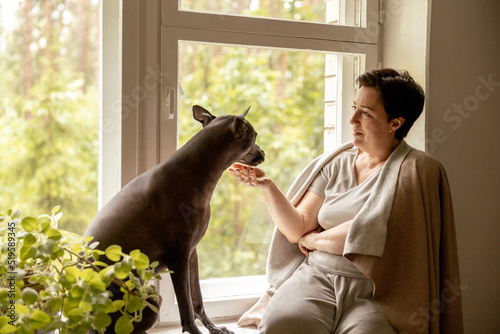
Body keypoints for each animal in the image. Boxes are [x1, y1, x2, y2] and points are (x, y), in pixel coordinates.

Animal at [85, 105, 266, 332]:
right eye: (255, 136)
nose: (263, 153)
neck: (194, 174)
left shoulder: (191, 254)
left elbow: (197, 301)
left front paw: (213, 328)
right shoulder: (178, 258)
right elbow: (186, 309)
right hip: (147, 298)